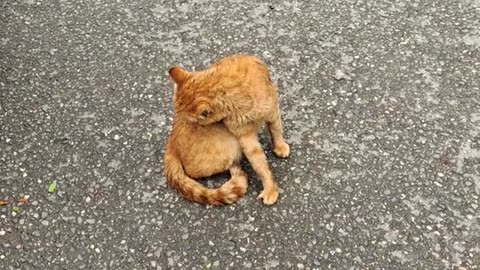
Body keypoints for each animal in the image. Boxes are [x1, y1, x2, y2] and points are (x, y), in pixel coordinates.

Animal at [167, 54, 290, 205]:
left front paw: (280, 146)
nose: (191, 125)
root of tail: (171, 145)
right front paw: (270, 188)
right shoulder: (244, 136)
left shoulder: (272, 112)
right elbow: (260, 164)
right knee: (196, 172)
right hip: (231, 144)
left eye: (192, 122)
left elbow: (277, 131)